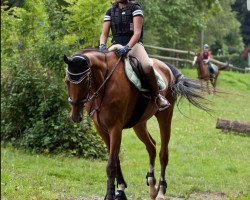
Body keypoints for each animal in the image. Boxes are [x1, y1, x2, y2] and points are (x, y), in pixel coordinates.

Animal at [63, 47, 207, 200]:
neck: (104, 85)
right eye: (67, 81)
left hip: (165, 116)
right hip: (139, 123)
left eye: (85, 82)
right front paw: (120, 190)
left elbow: (111, 165)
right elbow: (115, 160)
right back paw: (151, 185)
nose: (75, 116)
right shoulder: (101, 129)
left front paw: (110, 195)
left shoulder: (115, 128)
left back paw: (161, 191)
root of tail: (167, 67)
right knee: (151, 146)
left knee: (163, 153)